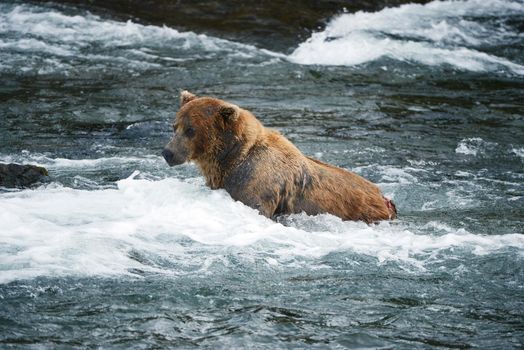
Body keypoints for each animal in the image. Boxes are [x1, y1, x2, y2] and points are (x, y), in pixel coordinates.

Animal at [162, 91, 396, 223]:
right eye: (175, 126)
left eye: (191, 130)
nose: (168, 152)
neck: (231, 158)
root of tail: (385, 199)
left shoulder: (258, 182)